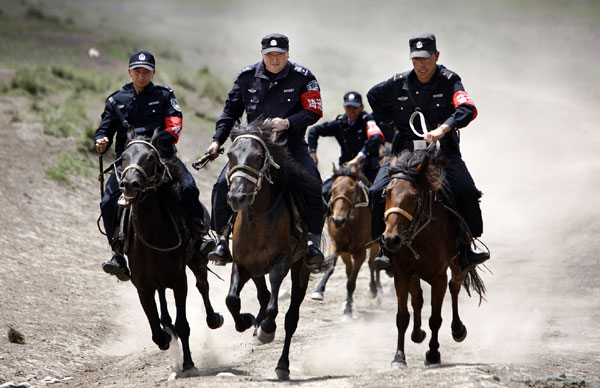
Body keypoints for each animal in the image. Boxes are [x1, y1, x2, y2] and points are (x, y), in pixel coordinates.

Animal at [116, 127, 223, 376]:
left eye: (149, 158)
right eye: (123, 157)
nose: (129, 184)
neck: (153, 234)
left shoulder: (178, 280)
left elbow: (184, 325)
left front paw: (189, 363)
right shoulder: (142, 287)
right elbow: (155, 329)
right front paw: (165, 335)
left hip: (195, 261)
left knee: (202, 285)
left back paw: (213, 318)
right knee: (162, 300)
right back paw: (167, 324)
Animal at [310, 164, 380, 316]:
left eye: (352, 191)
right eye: (333, 190)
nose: (337, 220)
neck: (350, 223)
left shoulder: (360, 252)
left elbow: (351, 282)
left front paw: (348, 310)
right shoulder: (337, 246)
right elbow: (332, 268)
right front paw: (318, 291)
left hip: (375, 244)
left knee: (372, 263)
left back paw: (375, 289)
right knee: (350, 269)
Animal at [382, 145, 486, 366]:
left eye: (414, 196)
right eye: (386, 193)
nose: (391, 239)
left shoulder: (439, 277)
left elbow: (435, 319)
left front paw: (433, 353)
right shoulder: (401, 274)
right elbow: (402, 316)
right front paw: (399, 357)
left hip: (457, 264)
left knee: (455, 287)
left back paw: (457, 330)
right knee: (418, 298)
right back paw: (417, 334)